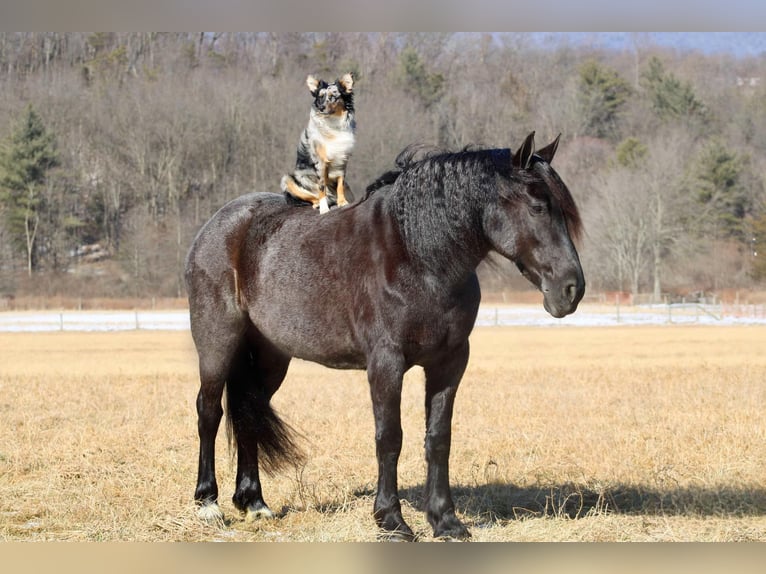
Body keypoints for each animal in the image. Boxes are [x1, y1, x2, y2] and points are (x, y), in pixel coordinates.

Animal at [186, 133, 588, 544]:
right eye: (538, 207)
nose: (571, 289)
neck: (417, 257)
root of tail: (216, 226)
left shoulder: (450, 363)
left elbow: (438, 438)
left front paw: (445, 521)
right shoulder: (386, 364)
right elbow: (389, 437)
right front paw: (392, 520)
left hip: (270, 356)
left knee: (249, 409)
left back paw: (254, 503)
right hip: (218, 343)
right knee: (210, 411)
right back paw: (208, 505)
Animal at [280, 72, 356, 214]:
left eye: (333, 97)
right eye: (320, 97)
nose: (321, 108)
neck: (333, 124)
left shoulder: (343, 160)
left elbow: (340, 183)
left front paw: (342, 202)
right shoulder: (320, 162)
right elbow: (322, 187)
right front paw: (324, 208)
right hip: (288, 179)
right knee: (312, 197)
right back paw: (317, 204)